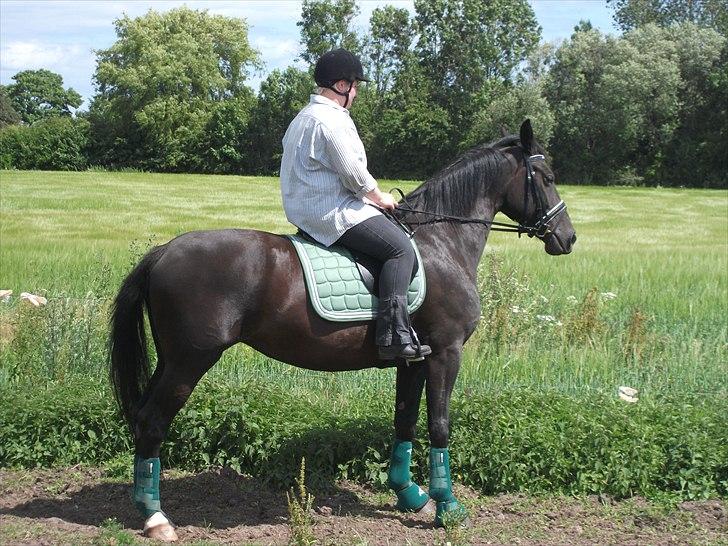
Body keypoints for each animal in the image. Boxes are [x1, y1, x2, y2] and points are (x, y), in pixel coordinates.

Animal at [109, 119, 576, 540]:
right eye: (548, 178)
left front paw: (409, 494)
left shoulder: (413, 360)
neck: (441, 243)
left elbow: (404, 420)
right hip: (190, 361)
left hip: (171, 360)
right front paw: (448, 506)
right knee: (152, 421)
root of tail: (164, 250)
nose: (568, 238)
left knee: (144, 418)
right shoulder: (446, 352)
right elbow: (439, 424)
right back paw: (156, 518)